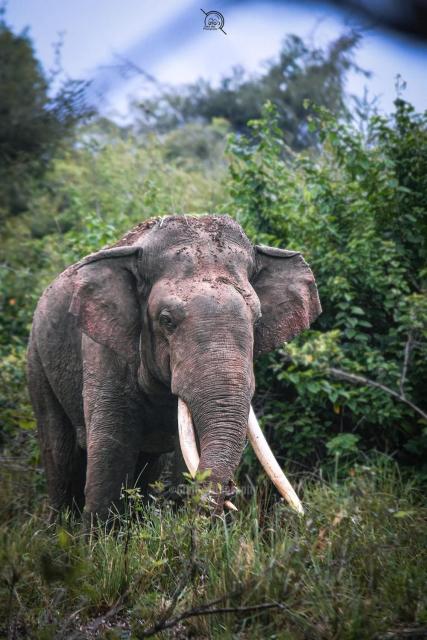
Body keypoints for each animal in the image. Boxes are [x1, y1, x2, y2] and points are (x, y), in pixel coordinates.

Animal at [26, 214, 320, 520]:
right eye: (166, 320)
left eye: (258, 319)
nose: (230, 493)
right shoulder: (103, 350)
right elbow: (112, 449)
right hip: (37, 359)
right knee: (59, 454)